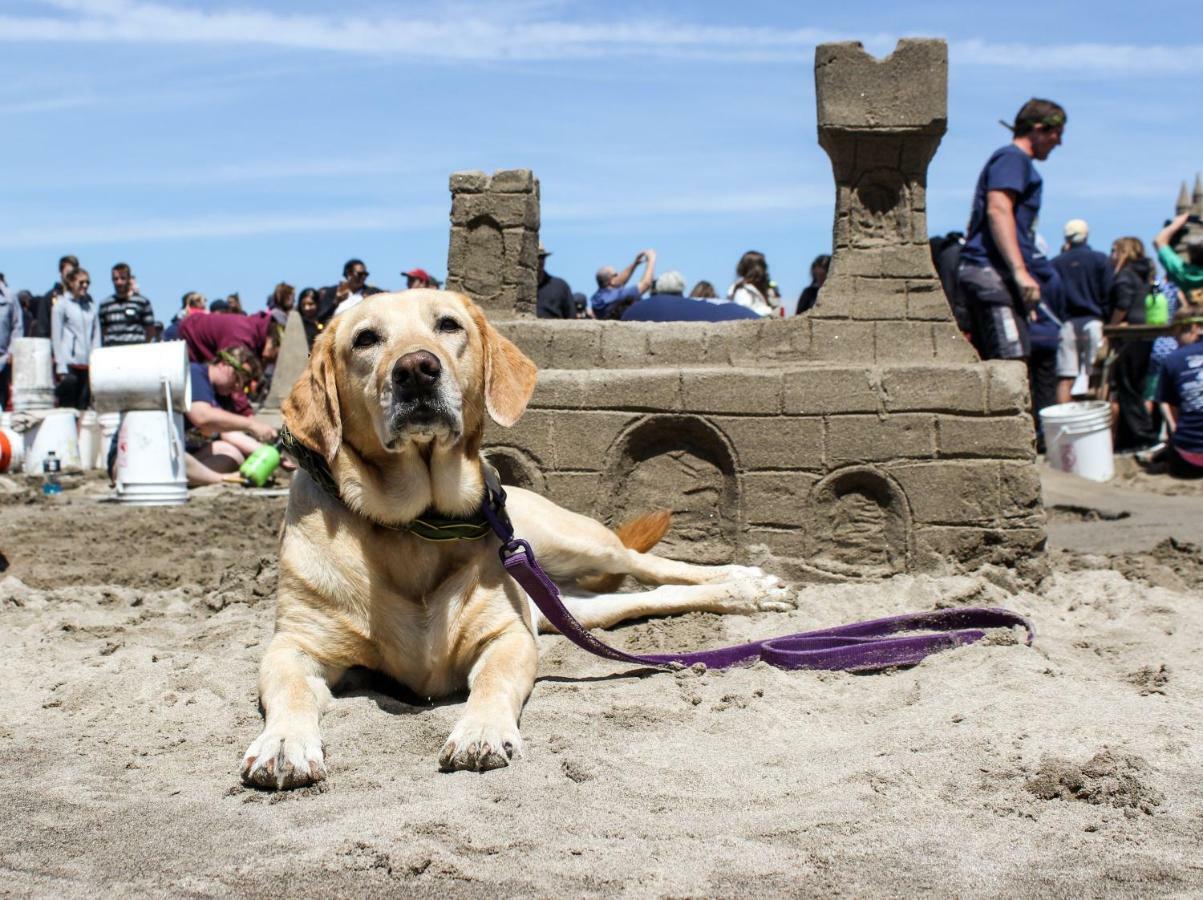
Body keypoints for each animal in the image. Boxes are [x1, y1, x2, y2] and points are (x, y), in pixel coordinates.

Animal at [239, 289, 793, 789]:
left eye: (448, 325)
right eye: (365, 339)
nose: (416, 369)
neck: (417, 525)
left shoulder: (509, 636)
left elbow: (493, 681)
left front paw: (480, 730)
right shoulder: (294, 646)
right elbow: (289, 691)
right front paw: (284, 744)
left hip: (575, 542)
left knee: (647, 563)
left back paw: (749, 584)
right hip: (569, 606)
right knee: (645, 597)